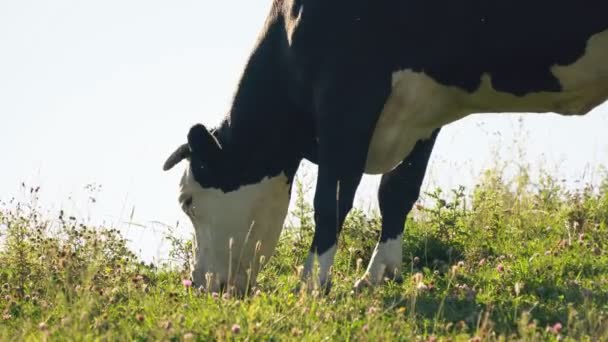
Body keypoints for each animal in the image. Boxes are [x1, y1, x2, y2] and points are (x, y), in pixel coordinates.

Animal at [162, 0, 608, 294]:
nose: (199, 284)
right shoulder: (424, 109)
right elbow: (397, 190)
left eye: (187, 202)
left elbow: (331, 201)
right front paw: (379, 274)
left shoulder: (347, 94)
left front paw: (312, 283)